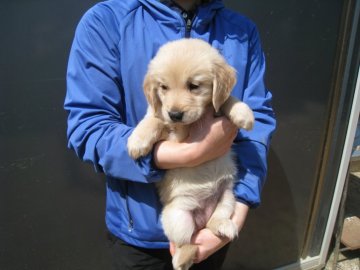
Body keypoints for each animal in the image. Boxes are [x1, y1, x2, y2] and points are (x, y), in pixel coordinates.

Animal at [128, 38, 255, 270]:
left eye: (194, 86)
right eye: (164, 87)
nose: (175, 114)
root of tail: (201, 219)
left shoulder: (214, 106)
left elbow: (225, 99)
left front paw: (243, 113)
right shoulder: (169, 128)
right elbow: (155, 119)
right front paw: (138, 140)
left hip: (227, 197)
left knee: (213, 222)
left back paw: (223, 226)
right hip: (178, 217)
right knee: (186, 243)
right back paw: (181, 259)